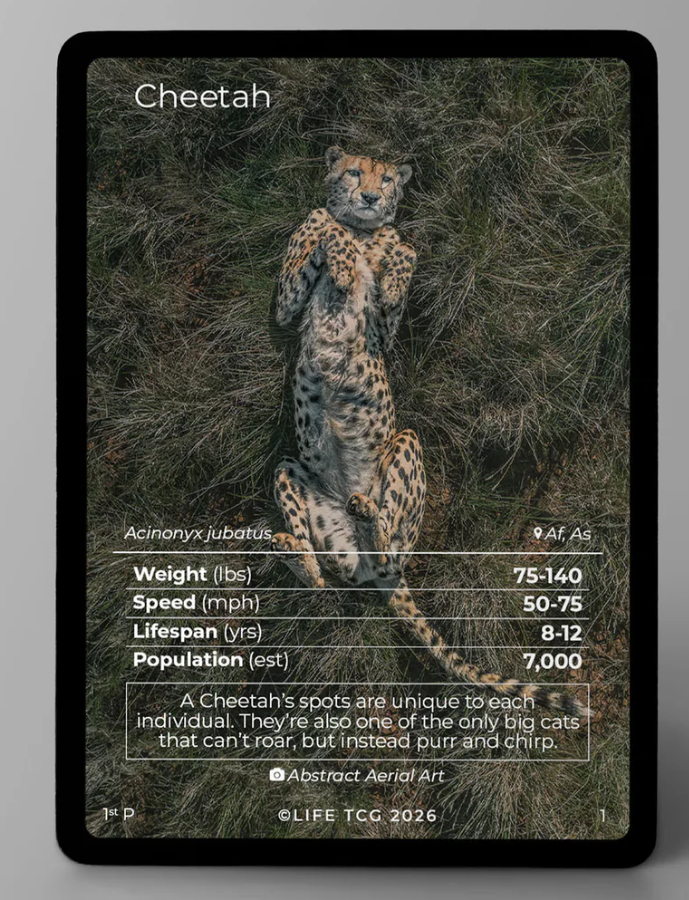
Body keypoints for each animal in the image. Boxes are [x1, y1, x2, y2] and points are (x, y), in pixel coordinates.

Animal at [271, 146, 588, 719]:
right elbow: (319, 228)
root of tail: (377, 575)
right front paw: (334, 233)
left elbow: (401, 255)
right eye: (355, 172)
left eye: (388, 180)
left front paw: (389, 252)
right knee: (321, 574)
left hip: (408, 442)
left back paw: (367, 512)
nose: (369, 197)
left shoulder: (385, 327)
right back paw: (293, 547)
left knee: (391, 546)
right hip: (293, 473)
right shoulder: (288, 307)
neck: (363, 232)